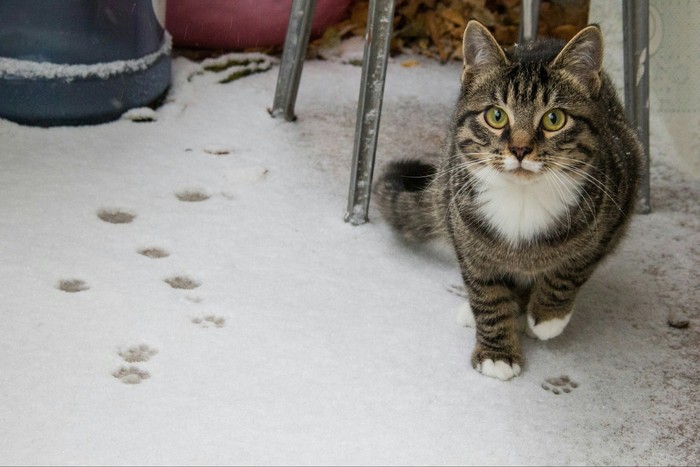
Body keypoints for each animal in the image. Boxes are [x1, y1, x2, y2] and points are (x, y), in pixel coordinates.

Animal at [378, 22, 640, 380]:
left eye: (554, 119)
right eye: (496, 116)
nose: (519, 149)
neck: (522, 199)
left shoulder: (617, 202)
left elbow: (572, 268)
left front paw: (547, 317)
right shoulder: (466, 235)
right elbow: (486, 294)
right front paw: (497, 353)